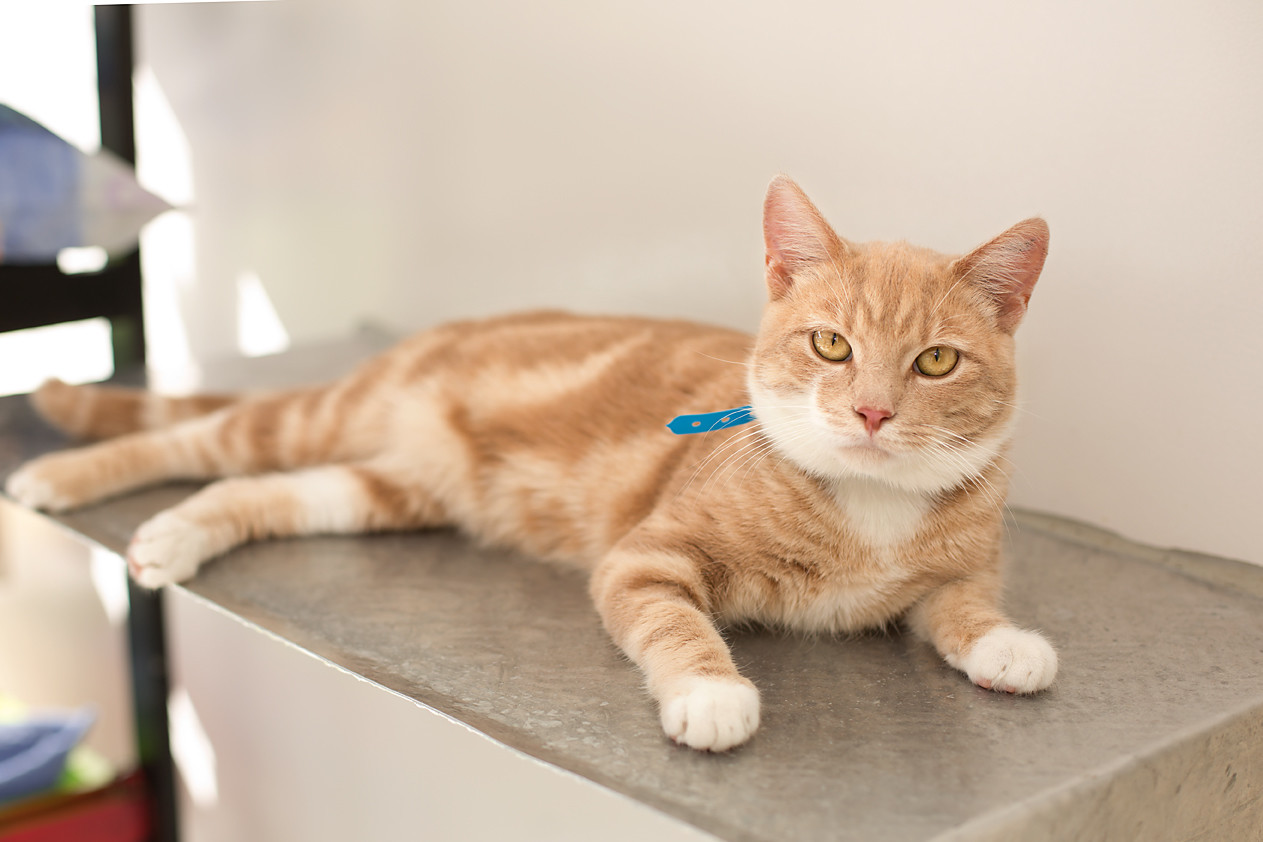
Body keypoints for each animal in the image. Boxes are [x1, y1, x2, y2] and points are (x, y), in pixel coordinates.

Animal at [4, 176, 1057, 752]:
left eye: (934, 362)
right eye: (831, 346)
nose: (872, 411)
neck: (869, 504)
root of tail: (442, 331)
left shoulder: (955, 568)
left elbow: (962, 605)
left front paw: (1005, 644)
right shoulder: (646, 557)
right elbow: (677, 628)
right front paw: (711, 695)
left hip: (388, 488)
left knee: (248, 490)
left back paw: (172, 537)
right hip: (314, 422)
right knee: (190, 441)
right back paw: (58, 479)